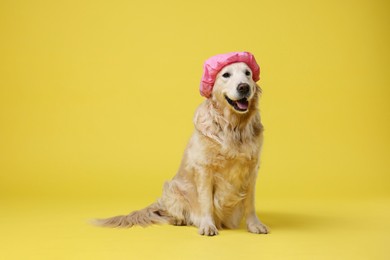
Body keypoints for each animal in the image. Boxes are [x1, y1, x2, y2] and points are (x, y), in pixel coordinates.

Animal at [95, 52, 268, 236]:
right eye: (226, 75)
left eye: (248, 73)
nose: (244, 87)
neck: (233, 127)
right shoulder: (204, 168)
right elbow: (206, 202)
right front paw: (208, 225)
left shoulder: (252, 168)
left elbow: (250, 202)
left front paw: (254, 225)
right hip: (170, 188)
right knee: (171, 212)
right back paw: (178, 219)